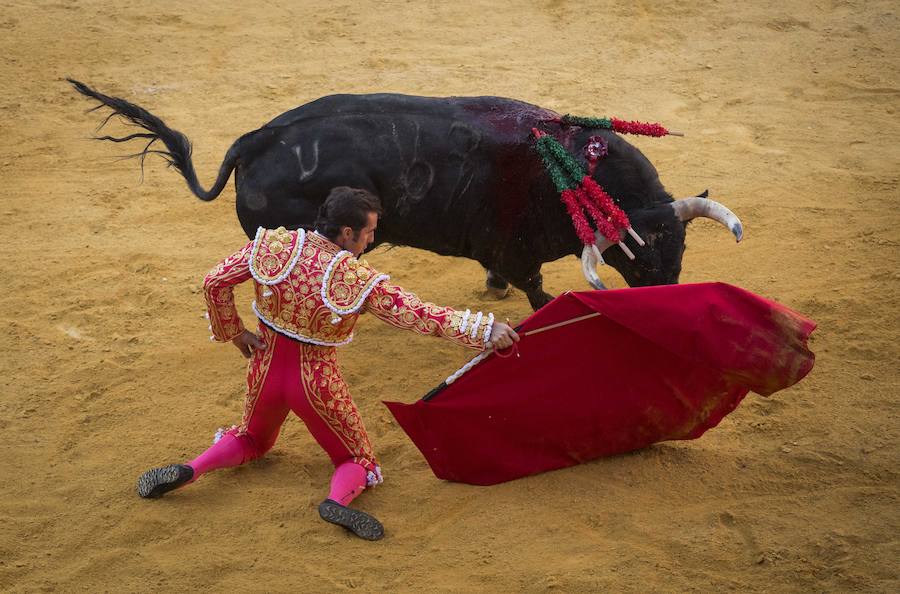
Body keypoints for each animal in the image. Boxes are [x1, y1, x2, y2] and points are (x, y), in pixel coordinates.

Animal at [70, 80, 740, 310]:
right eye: (637, 258)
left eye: (680, 250)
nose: (668, 296)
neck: (571, 169)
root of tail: (256, 140)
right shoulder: (515, 247)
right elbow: (532, 286)